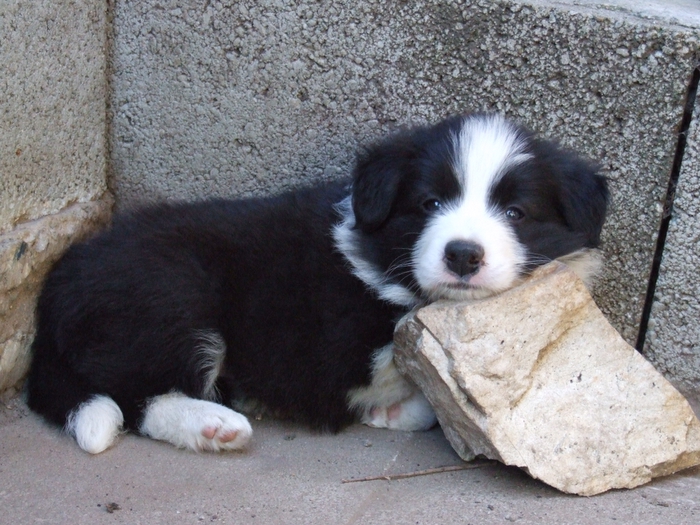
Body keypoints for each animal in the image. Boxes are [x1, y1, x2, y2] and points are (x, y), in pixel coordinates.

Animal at [26, 113, 608, 454]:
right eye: (429, 203)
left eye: (516, 212)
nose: (463, 254)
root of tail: (52, 297)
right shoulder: (328, 352)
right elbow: (398, 374)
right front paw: (401, 405)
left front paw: (398, 412)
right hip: (169, 292)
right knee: (133, 396)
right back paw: (212, 423)